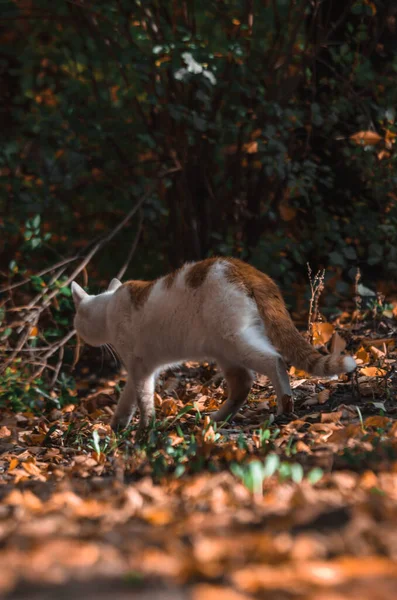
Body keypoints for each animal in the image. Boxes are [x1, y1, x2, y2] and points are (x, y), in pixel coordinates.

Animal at [71, 255, 356, 434]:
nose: (78, 335)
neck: (108, 307)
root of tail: (245, 268)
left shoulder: (140, 367)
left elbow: (143, 399)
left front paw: (144, 428)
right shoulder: (140, 368)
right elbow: (127, 398)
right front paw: (118, 425)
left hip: (234, 339)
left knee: (274, 360)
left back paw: (284, 404)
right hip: (224, 350)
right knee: (243, 384)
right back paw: (218, 418)